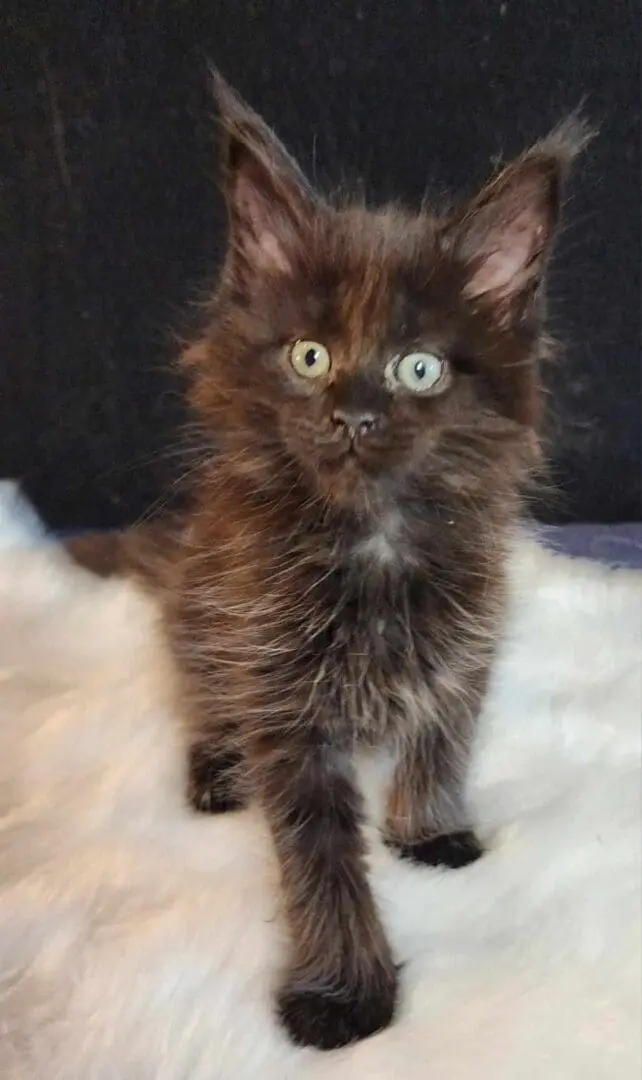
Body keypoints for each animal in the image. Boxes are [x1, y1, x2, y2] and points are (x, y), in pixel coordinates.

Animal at [67, 73, 587, 1045]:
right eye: (311, 356)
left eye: (419, 368)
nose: (352, 416)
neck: (373, 543)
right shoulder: (280, 695)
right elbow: (320, 857)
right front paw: (343, 994)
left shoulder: (470, 632)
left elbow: (445, 732)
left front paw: (426, 827)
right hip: (204, 610)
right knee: (203, 694)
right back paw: (217, 767)